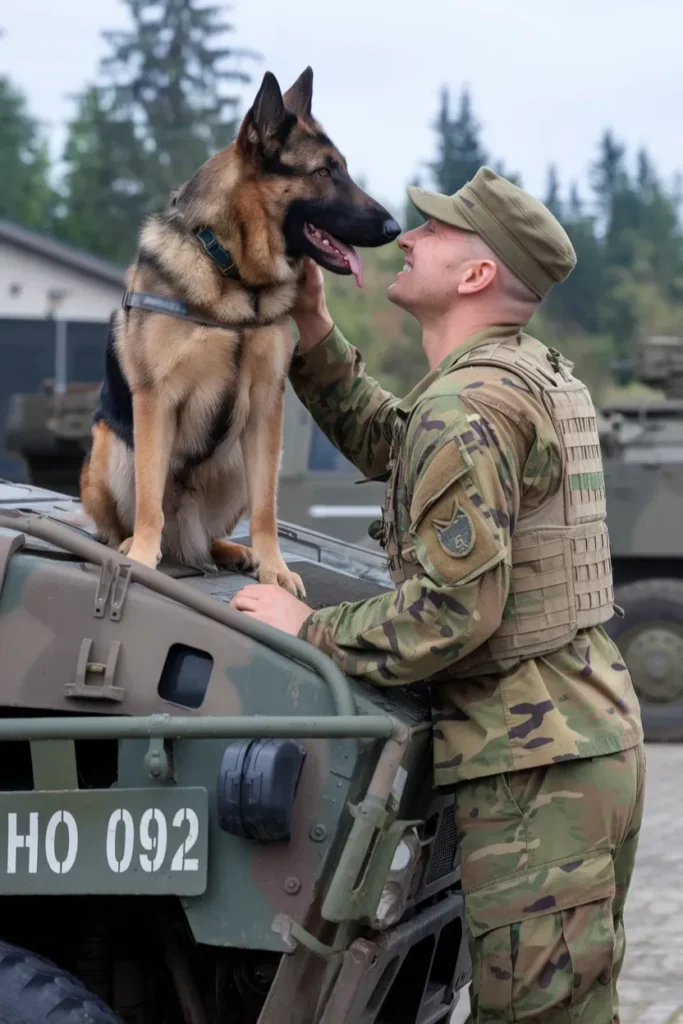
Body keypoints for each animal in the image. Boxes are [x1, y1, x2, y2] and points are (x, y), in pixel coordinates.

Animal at [80, 68, 401, 598]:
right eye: (324, 173)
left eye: (343, 170)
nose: (396, 228)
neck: (233, 273)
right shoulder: (155, 400)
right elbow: (149, 497)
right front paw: (143, 556)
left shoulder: (267, 406)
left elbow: (266, 507)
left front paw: (275, 568)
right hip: (111, 450)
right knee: (126, 521)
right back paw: (132, 544)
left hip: (232, 463)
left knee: (212, 532)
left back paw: (231, 550)